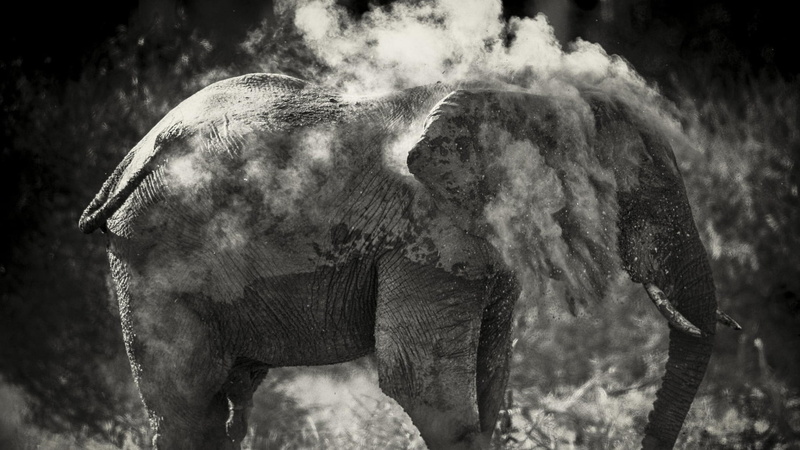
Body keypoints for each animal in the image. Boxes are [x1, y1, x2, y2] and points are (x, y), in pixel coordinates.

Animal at [80, 73, 740, 449]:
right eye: (641, 194)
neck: (523, 102)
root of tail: (131, 158)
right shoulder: (427, 231)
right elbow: (419, 380)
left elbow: (490, 375)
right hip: (152, 258)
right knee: (189, 408)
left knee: (227, 407)